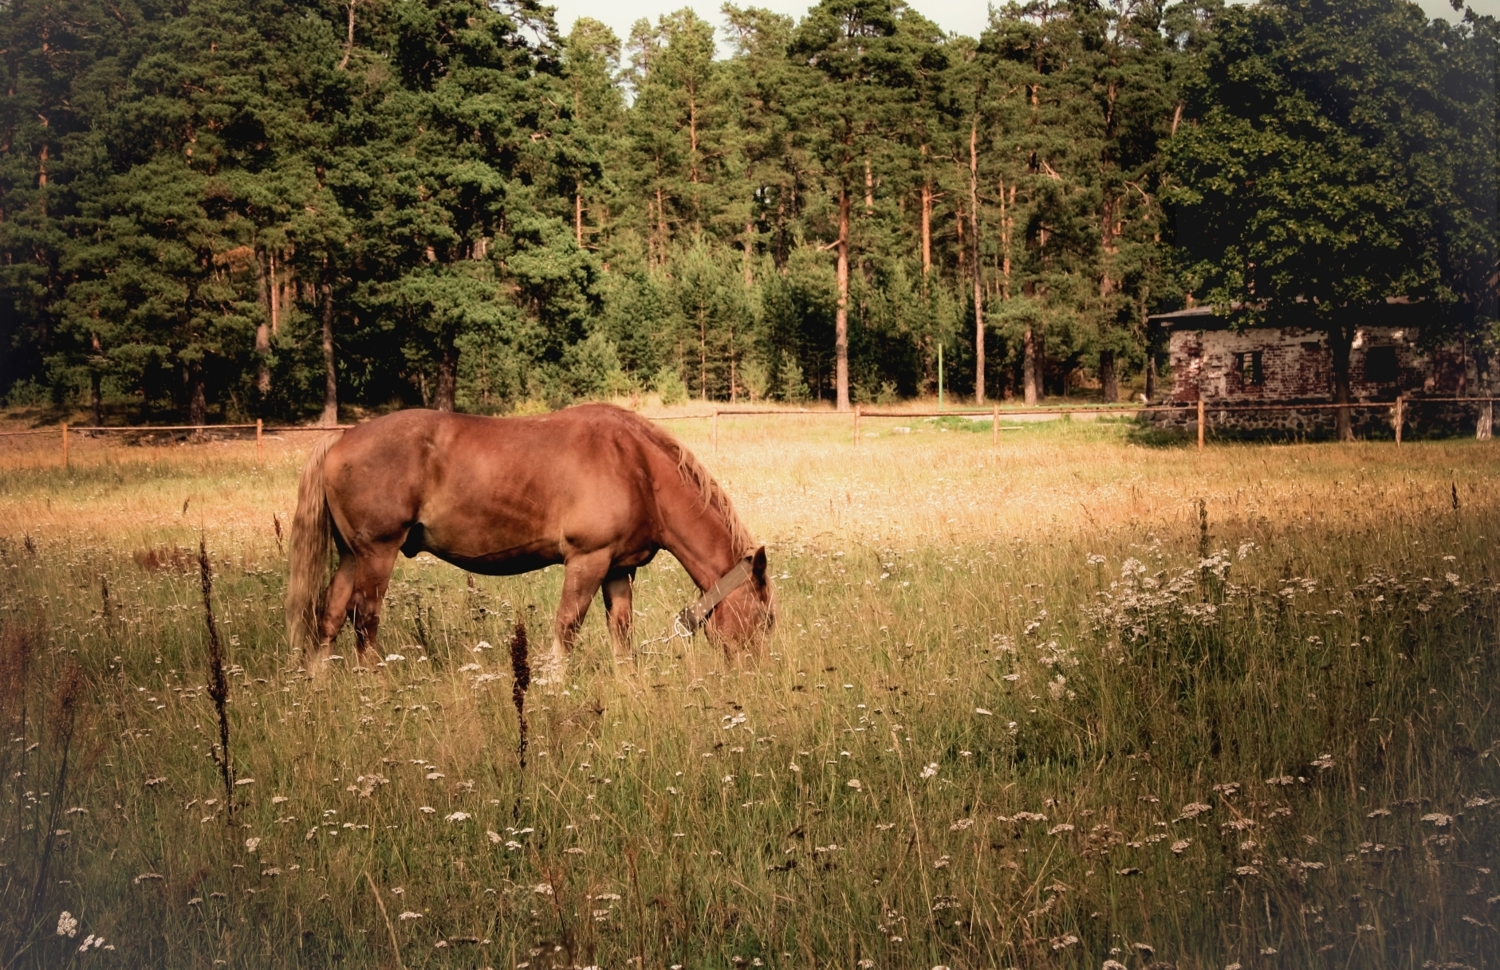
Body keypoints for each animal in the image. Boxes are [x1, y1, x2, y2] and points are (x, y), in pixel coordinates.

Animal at [283, 404, 774, 674]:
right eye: (765, 618)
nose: (757, 672)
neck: (636, 467)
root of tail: (340, 440)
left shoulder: (618, 569)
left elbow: (621, 634)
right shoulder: (587, 560)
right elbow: (567, 628)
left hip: (351, 555)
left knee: (329, 617)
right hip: (376, 554)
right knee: (364, 622)